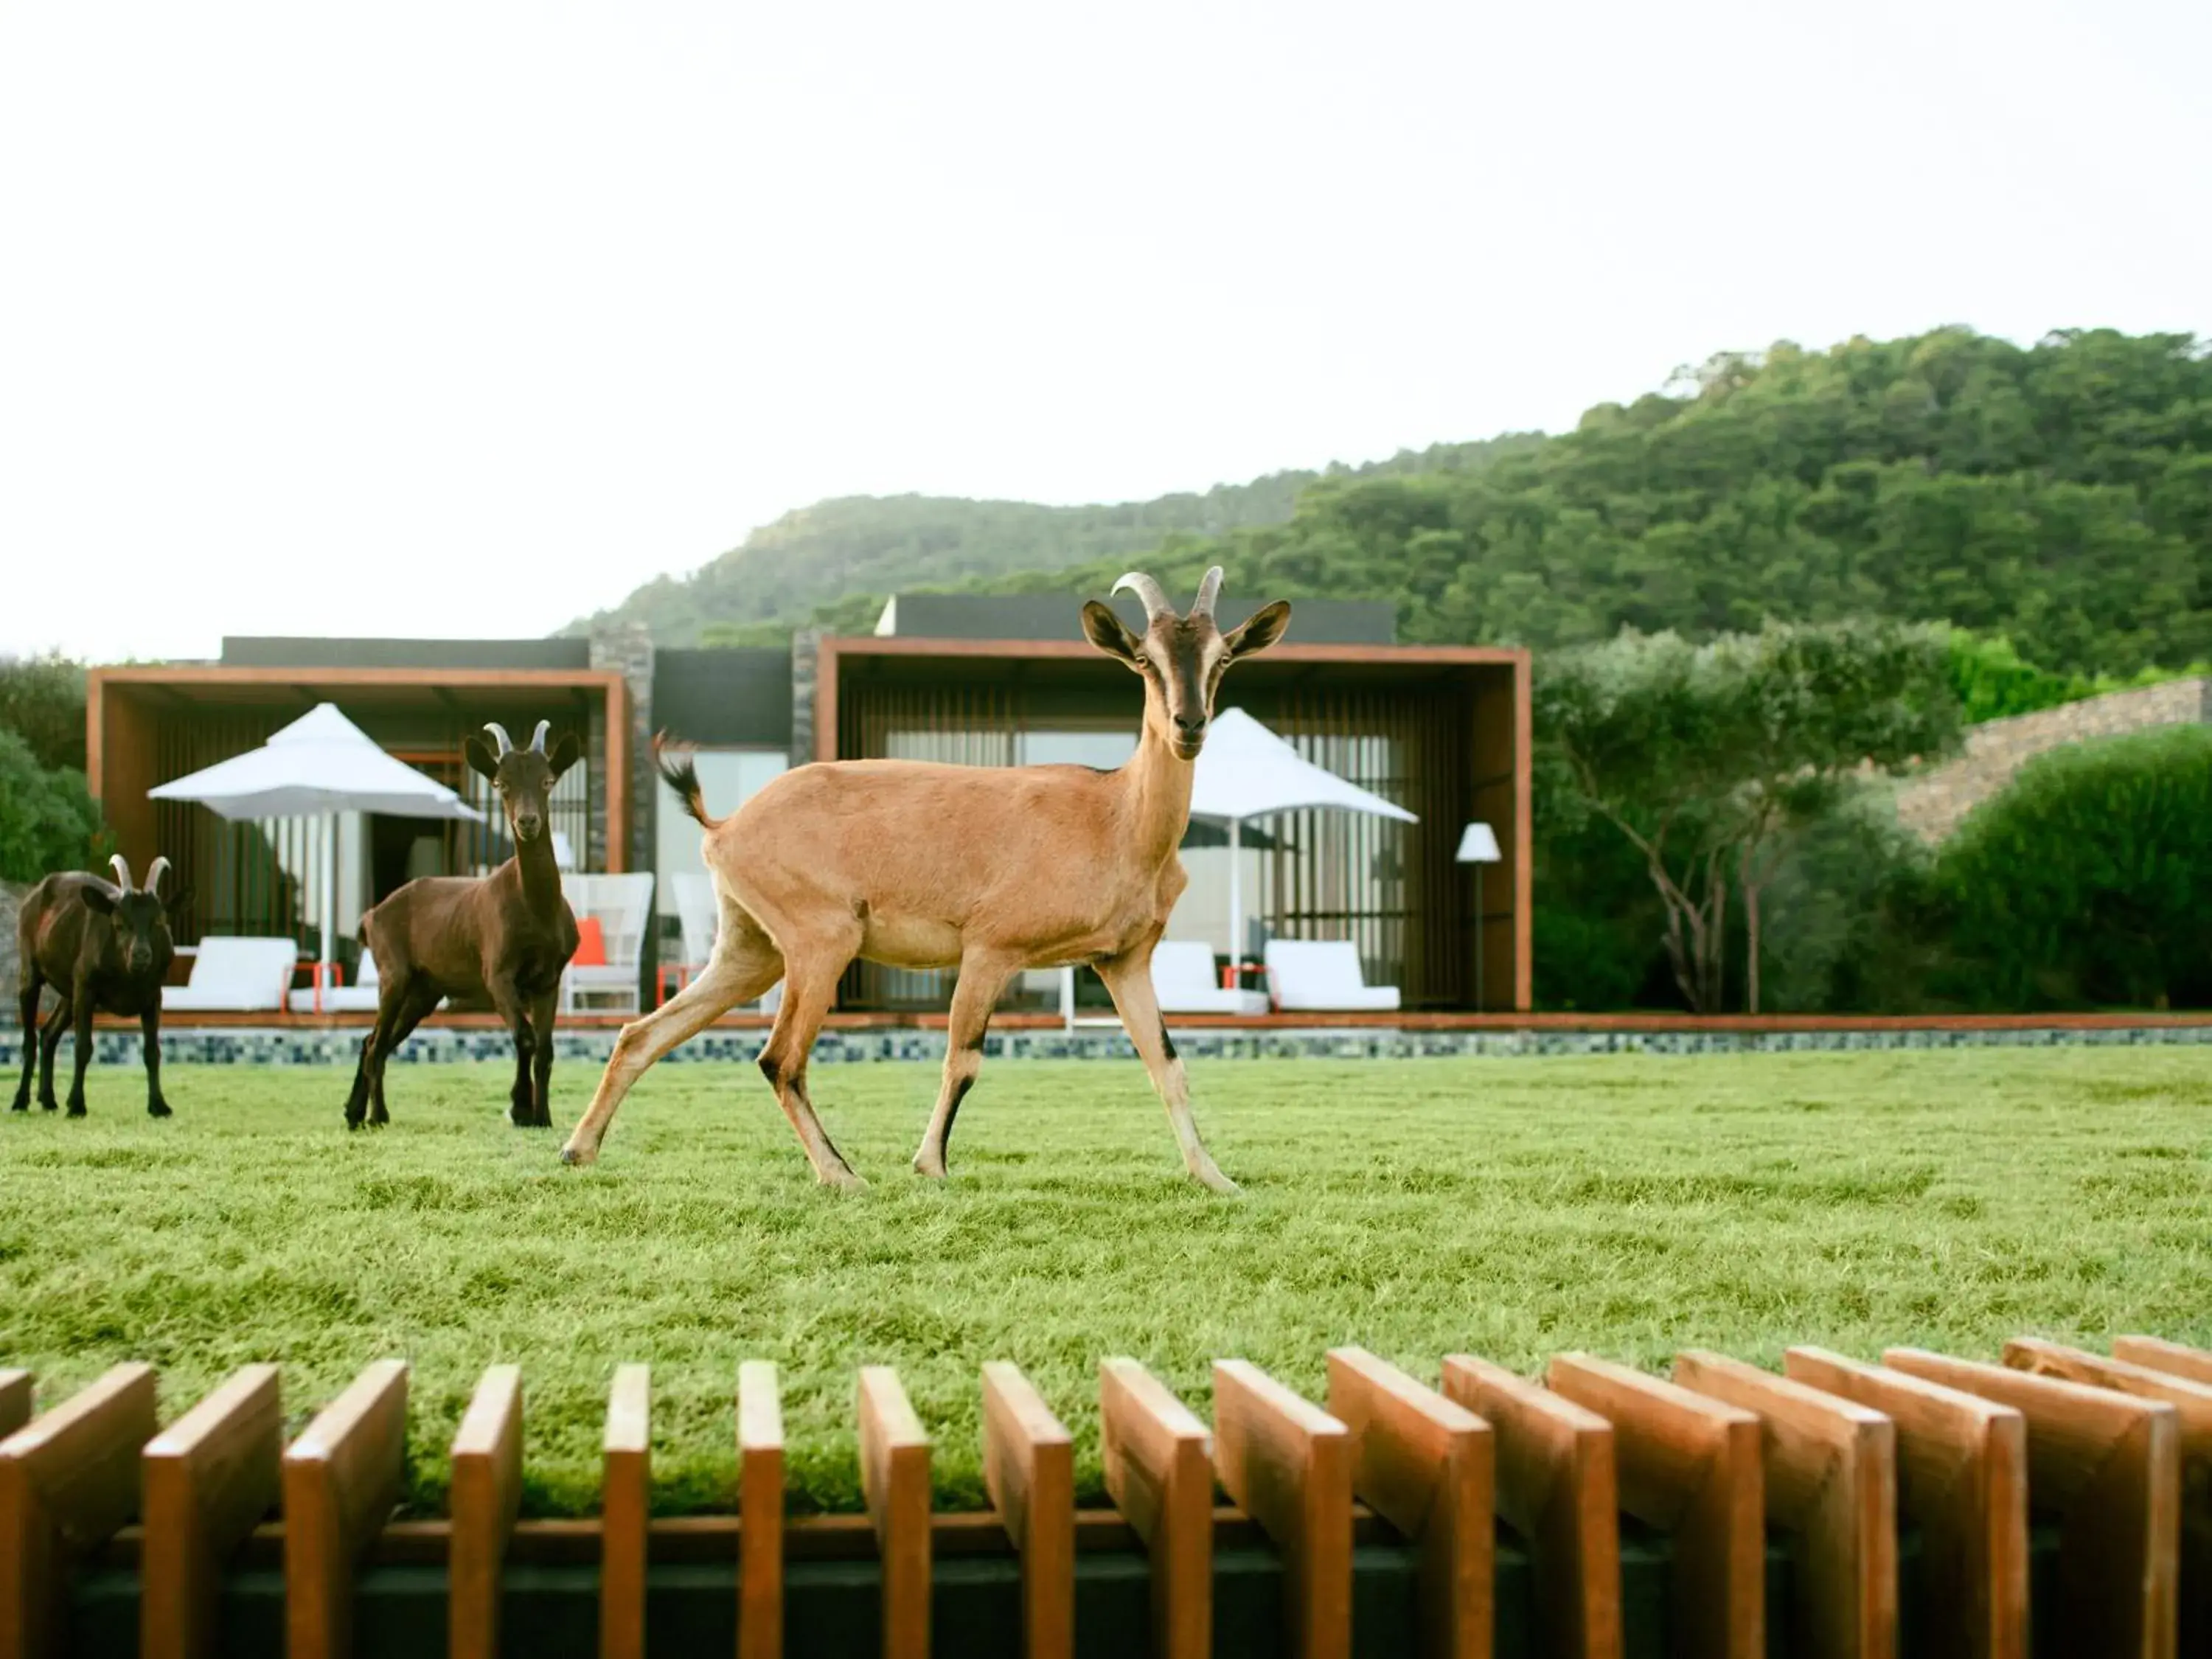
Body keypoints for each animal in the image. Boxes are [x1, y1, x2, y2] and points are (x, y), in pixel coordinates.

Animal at [13, 858, 181, 1119]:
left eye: (158, 922)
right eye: (119, 924)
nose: (141, 955)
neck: (127, 974)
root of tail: (37, 891)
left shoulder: (154, 996)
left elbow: (152, 1052)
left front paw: (159, 1106)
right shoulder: (86, 989)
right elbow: (83, 1047)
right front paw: (76, 1105)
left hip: (68, 992)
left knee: (49, 1034)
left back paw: (48, 1099)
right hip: (31, 970)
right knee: (29, 1039)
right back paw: (21, 1101)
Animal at [336, 721, 580, 1141]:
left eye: (549, 781)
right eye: (500, 784)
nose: (527, 822)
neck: (536, 911)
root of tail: (371, 916)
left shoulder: (549, 980)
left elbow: (546, 1050)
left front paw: (542, 1117)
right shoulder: (497, 974)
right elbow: (525, 1037)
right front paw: (519, 1108)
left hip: (425, 991)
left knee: (375, 1041)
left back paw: (360, 1114)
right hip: (394, 973)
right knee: (376, 1042)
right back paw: (373, 1115)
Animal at [562, 571, 1292, 1194]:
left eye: (1223, 658)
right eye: (1143, 660)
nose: (1189, 726)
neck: (1116, 817)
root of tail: (726, 824)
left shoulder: (1122, 962)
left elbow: (1167, 1065)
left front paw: (1217, 1178)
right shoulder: (992, 949)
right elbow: (962, 1059)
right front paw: (930, 1166)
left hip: (753, 951)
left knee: (643, 1033)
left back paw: (579, 1149)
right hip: (822, 942)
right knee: (779, 1058)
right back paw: (842, 1175)